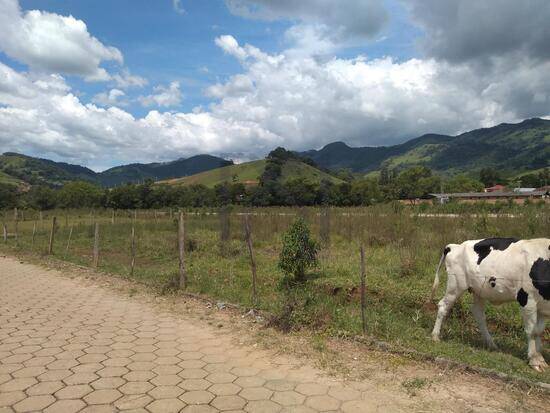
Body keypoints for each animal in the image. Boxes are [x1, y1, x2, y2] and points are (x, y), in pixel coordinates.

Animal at [432, 238, 550, 370]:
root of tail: (455, 246)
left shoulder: (543, 305)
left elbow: (539, 330)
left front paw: (539, 357)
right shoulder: (527, 299)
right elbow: (532, 331)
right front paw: (534, 360)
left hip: (478, 290)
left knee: (478, 313)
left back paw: (491, 344)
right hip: (456, 285)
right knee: (443, 305)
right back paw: (435, 336)